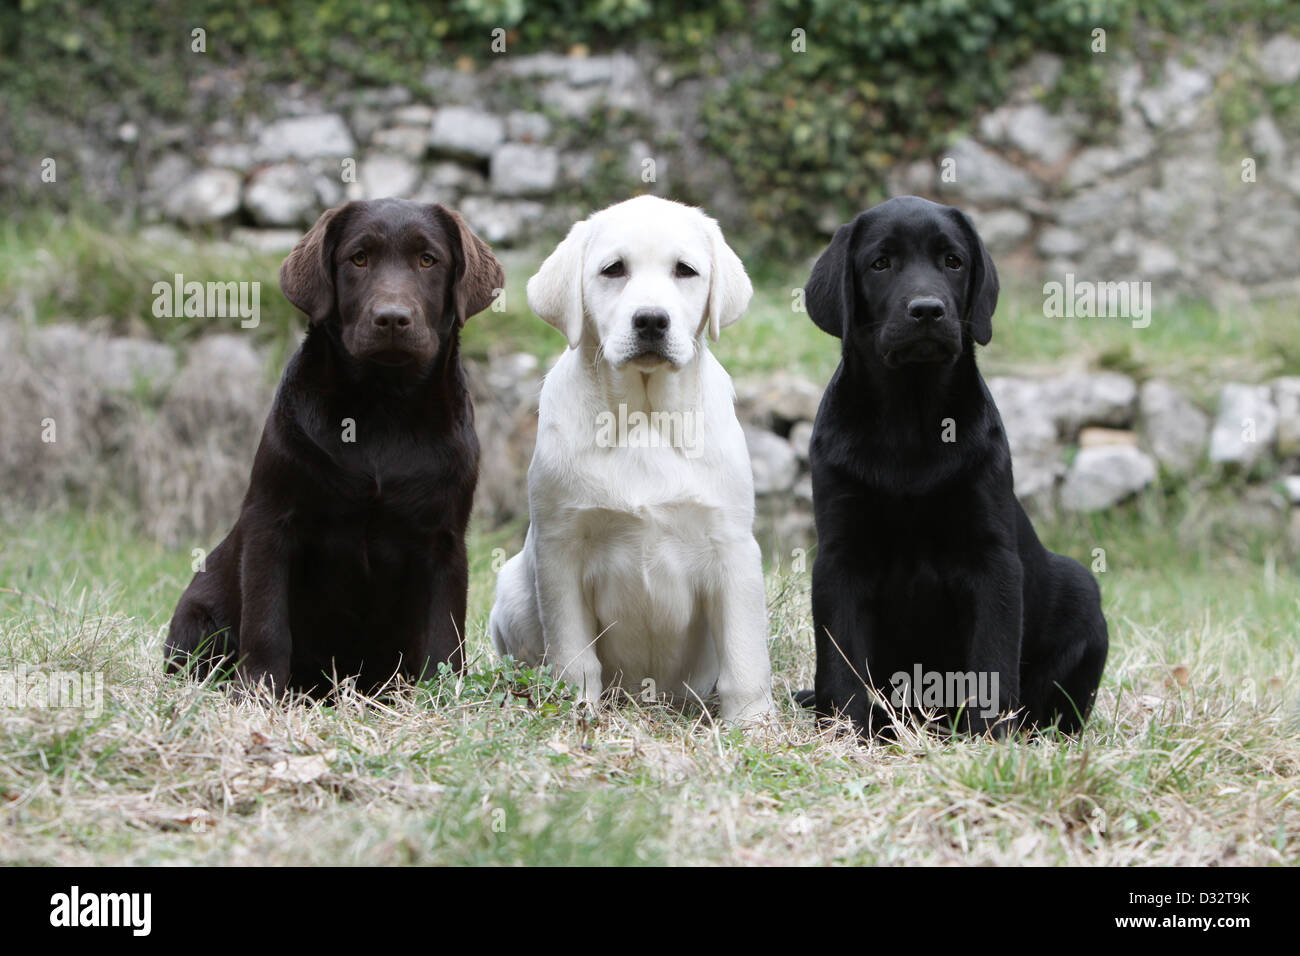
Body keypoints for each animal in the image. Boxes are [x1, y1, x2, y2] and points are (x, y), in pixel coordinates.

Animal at [167, 201, 501, 697]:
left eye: (428, 260)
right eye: (358, 259)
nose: (392, 318)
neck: (382, 407)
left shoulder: (444, 540)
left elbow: (444, 632)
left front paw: (441, 695)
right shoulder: (272, 524)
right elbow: (267, 622)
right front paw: (259, 691)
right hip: (197, 617)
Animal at [486, 196, 769, 723]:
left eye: (685, 270)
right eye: (613, 269)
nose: (652, 320)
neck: (645, 418)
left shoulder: (733, 547)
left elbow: (745, 659)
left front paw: (753, 725)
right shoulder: (561, 548)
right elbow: (574, 654)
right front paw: (578, 709)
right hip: (513, 587)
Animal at [800, 196, 1107, 738]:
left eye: (953, 261)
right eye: (880, 263)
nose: (927, 310)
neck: (912, 417)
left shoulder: (993, 559)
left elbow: (992, 660)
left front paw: (989, 740)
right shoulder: (839, 556)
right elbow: (842, 662)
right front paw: (847, 734)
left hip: (1082, 593)